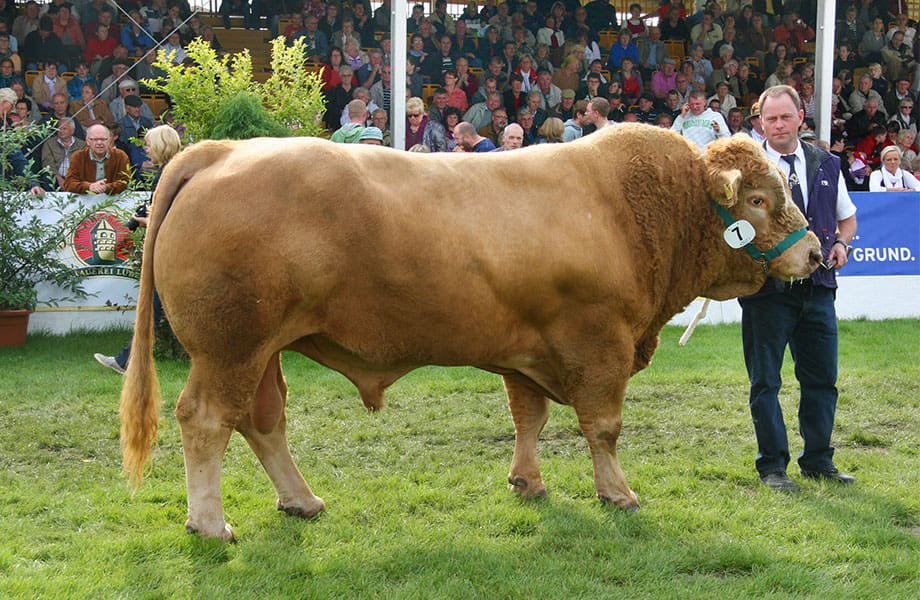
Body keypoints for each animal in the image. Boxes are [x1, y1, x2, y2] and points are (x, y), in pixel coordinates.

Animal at [120, 124, 820, 540]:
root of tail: (221, 149)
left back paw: (302, 500)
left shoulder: (531, 349)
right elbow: (603, 426)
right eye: (758, 199)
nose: (816, 253)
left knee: (263, 420)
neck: (636, 209)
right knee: (207, 420)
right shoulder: (600, 343)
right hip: (229, 347)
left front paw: (528, 482)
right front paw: (617, 493)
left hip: (263, 350)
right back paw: (210, 523)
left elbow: (530, 416)